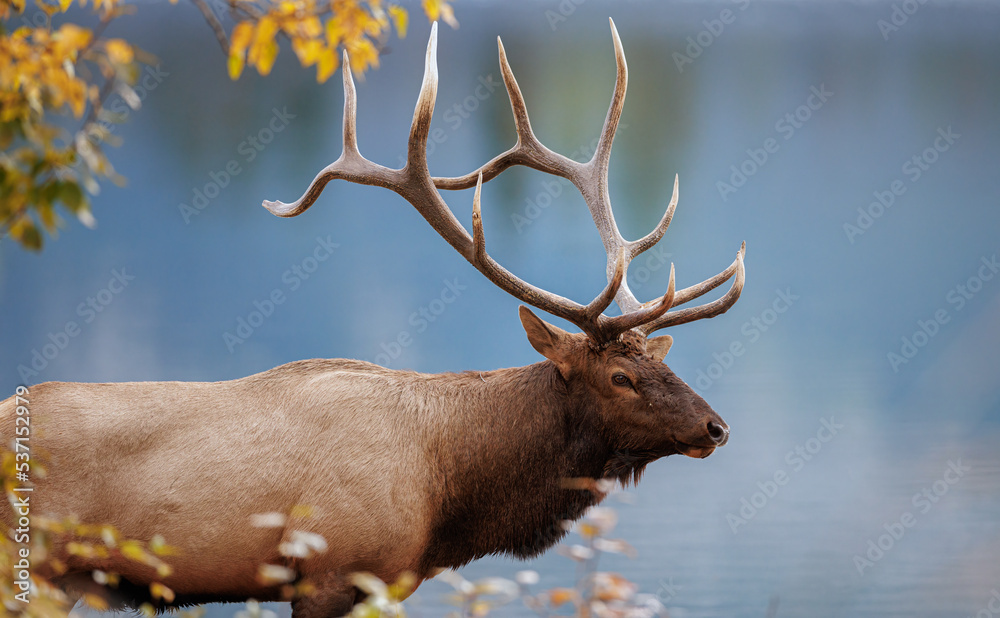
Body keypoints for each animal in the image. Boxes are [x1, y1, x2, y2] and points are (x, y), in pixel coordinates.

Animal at [0, 19, 745, 617]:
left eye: (662, 364)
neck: (449, 499)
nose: (716, 426)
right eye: (620, 376)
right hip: (33, 568)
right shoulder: (329, 571)